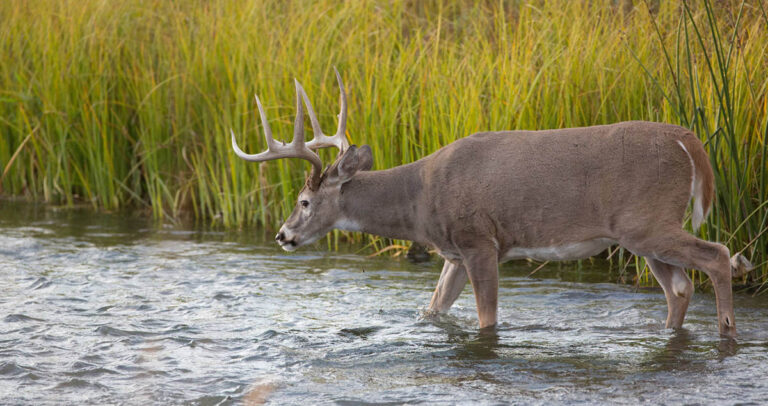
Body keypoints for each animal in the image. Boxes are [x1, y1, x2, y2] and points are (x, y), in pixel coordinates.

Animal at [231, 70, 752, 340]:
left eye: (303, 201)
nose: (282, 234)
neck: (420, 198)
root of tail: (689, 141)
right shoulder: (454, 252)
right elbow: (433, 309)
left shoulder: (480, 241)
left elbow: (487, 320)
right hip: (641, 233)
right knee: (679, 288)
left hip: (649, 221)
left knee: (718, 255)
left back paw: (727, 331)